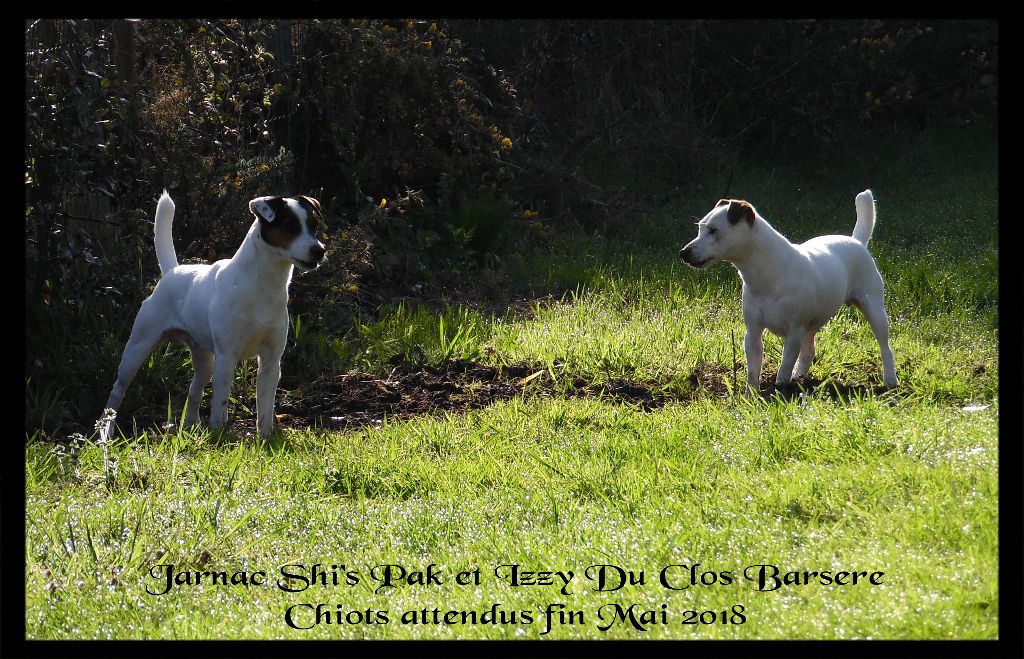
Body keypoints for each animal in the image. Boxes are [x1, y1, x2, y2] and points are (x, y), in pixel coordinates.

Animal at [96, 190, 323, 437]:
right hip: (137, 349)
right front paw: (219, 433)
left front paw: (265, 437)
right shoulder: (226, 357)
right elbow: (220, 403)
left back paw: (190, 425)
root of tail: (172, 272)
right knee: (117, 391)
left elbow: (265, 407)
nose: (320, 250)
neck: (262, 286)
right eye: (290, 226)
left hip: (205, 361)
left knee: (194, 390)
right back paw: (106, 430)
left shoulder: (271, 362)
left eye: (314, 226)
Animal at [679, 190, 897, 397]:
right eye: (700, 228)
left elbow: (784, 366)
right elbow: (752, 370)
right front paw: (750, 395)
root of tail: (856, 241)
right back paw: (800, 378)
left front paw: (780, 390)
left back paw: (890, 381)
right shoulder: (753, 333)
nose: (684, 252)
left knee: (885, 347)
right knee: (808, 350)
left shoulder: (794, 332)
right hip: (812, 323)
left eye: (713, 231)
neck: (769, 274)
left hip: (874, 309)